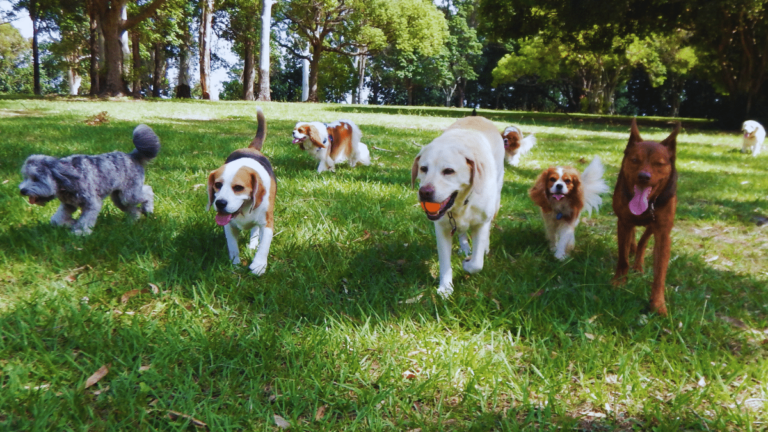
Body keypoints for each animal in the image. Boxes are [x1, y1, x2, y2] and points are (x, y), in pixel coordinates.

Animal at [19, 123, 161, 235]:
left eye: (36, 178)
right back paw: (133, 220)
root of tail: (132, 156)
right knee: (132, 209)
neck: (66, 178)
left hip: (129, 194)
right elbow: (57, 219)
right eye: (25, 177)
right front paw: (70, 223)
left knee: (148, 191)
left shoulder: (92, 204)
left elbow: (85, 220)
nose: (22, 191)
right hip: (119, 198)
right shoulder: (68, 204)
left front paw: (79, 231)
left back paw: (148, 209)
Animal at [207, 109, 276, 276]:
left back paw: (253, 245)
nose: (220, 203)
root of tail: (251, 149)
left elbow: (264, 244)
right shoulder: (228, 225)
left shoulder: (267, 221)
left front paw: (259, 265)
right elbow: (233, 246)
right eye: (217, 185)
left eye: (238, 187)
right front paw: (235, 264)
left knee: (255, 230)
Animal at [412, 115, 508, 298]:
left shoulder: (481, 223)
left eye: (449, 171)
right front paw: (445, 287)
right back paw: (464, 247)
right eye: (423, 168)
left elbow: (477, 263)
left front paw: (467, 265)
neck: (461, 203)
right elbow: (444, 262)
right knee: (462, 231)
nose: (424, 192)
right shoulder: (441, 228)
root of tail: (479, 116)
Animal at [616, 120, 680, 316]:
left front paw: (657, 304)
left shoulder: (663, 233)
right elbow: (622, 258)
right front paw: (619, 282)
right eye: (635, 160)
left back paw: (638, 262)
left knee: (643, 240)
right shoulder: (623, 221)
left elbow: (660, 274)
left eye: (659, 163)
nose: (644, 176)